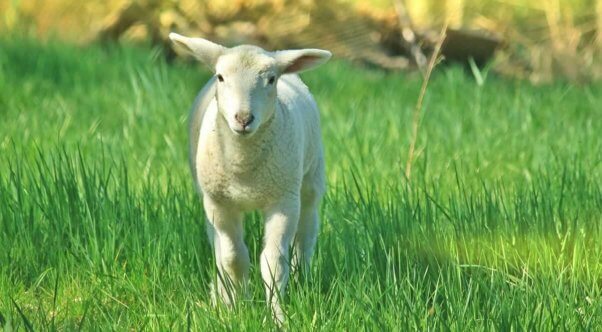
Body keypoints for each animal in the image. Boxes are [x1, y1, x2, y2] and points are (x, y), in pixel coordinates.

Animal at [166, 32, 330, 322]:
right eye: (220, 77)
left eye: (271, 79)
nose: (243, 118)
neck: (243, 168)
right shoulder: (219, 203)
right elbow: (233, 258)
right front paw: (236, 307)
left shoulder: (282, 201)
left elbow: (273, 263)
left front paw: (277, 316)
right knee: (218, 247)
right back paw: (220, 295)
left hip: (309, 179)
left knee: (306, 232)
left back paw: (302, 279)